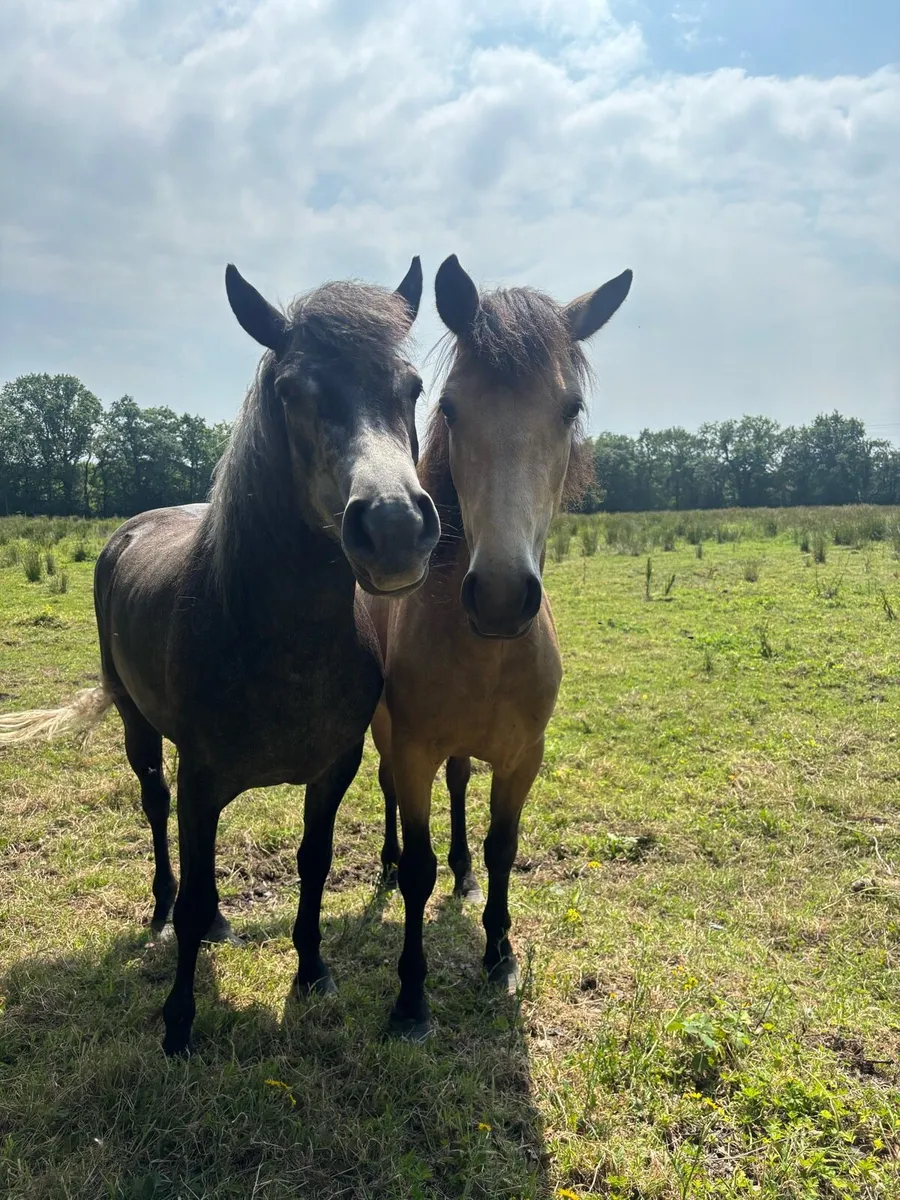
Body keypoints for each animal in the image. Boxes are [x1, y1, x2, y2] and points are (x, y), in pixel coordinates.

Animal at [0, 259, 441, 1056]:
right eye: (293, 390)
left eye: (412, 386)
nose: (394, 527)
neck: (281, 644)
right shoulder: (201, 776)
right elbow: (198, 875)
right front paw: (178, 1020)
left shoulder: (334, 769)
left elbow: (313, 864)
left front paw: (312, 970)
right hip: (138, 726)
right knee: (156, 811)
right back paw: (164, 911)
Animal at [361, 254, 632, 1039]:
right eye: (451, 409)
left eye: (569, 410)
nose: (503, 596)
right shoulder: (413, 750)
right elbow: (416, 866)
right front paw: (411, 998)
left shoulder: (522, 757)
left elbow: (503, 846)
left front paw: (499, 954)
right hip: (385, 738)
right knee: (388, 798)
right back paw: (386, 862)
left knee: (459, 789)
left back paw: (463, 874)